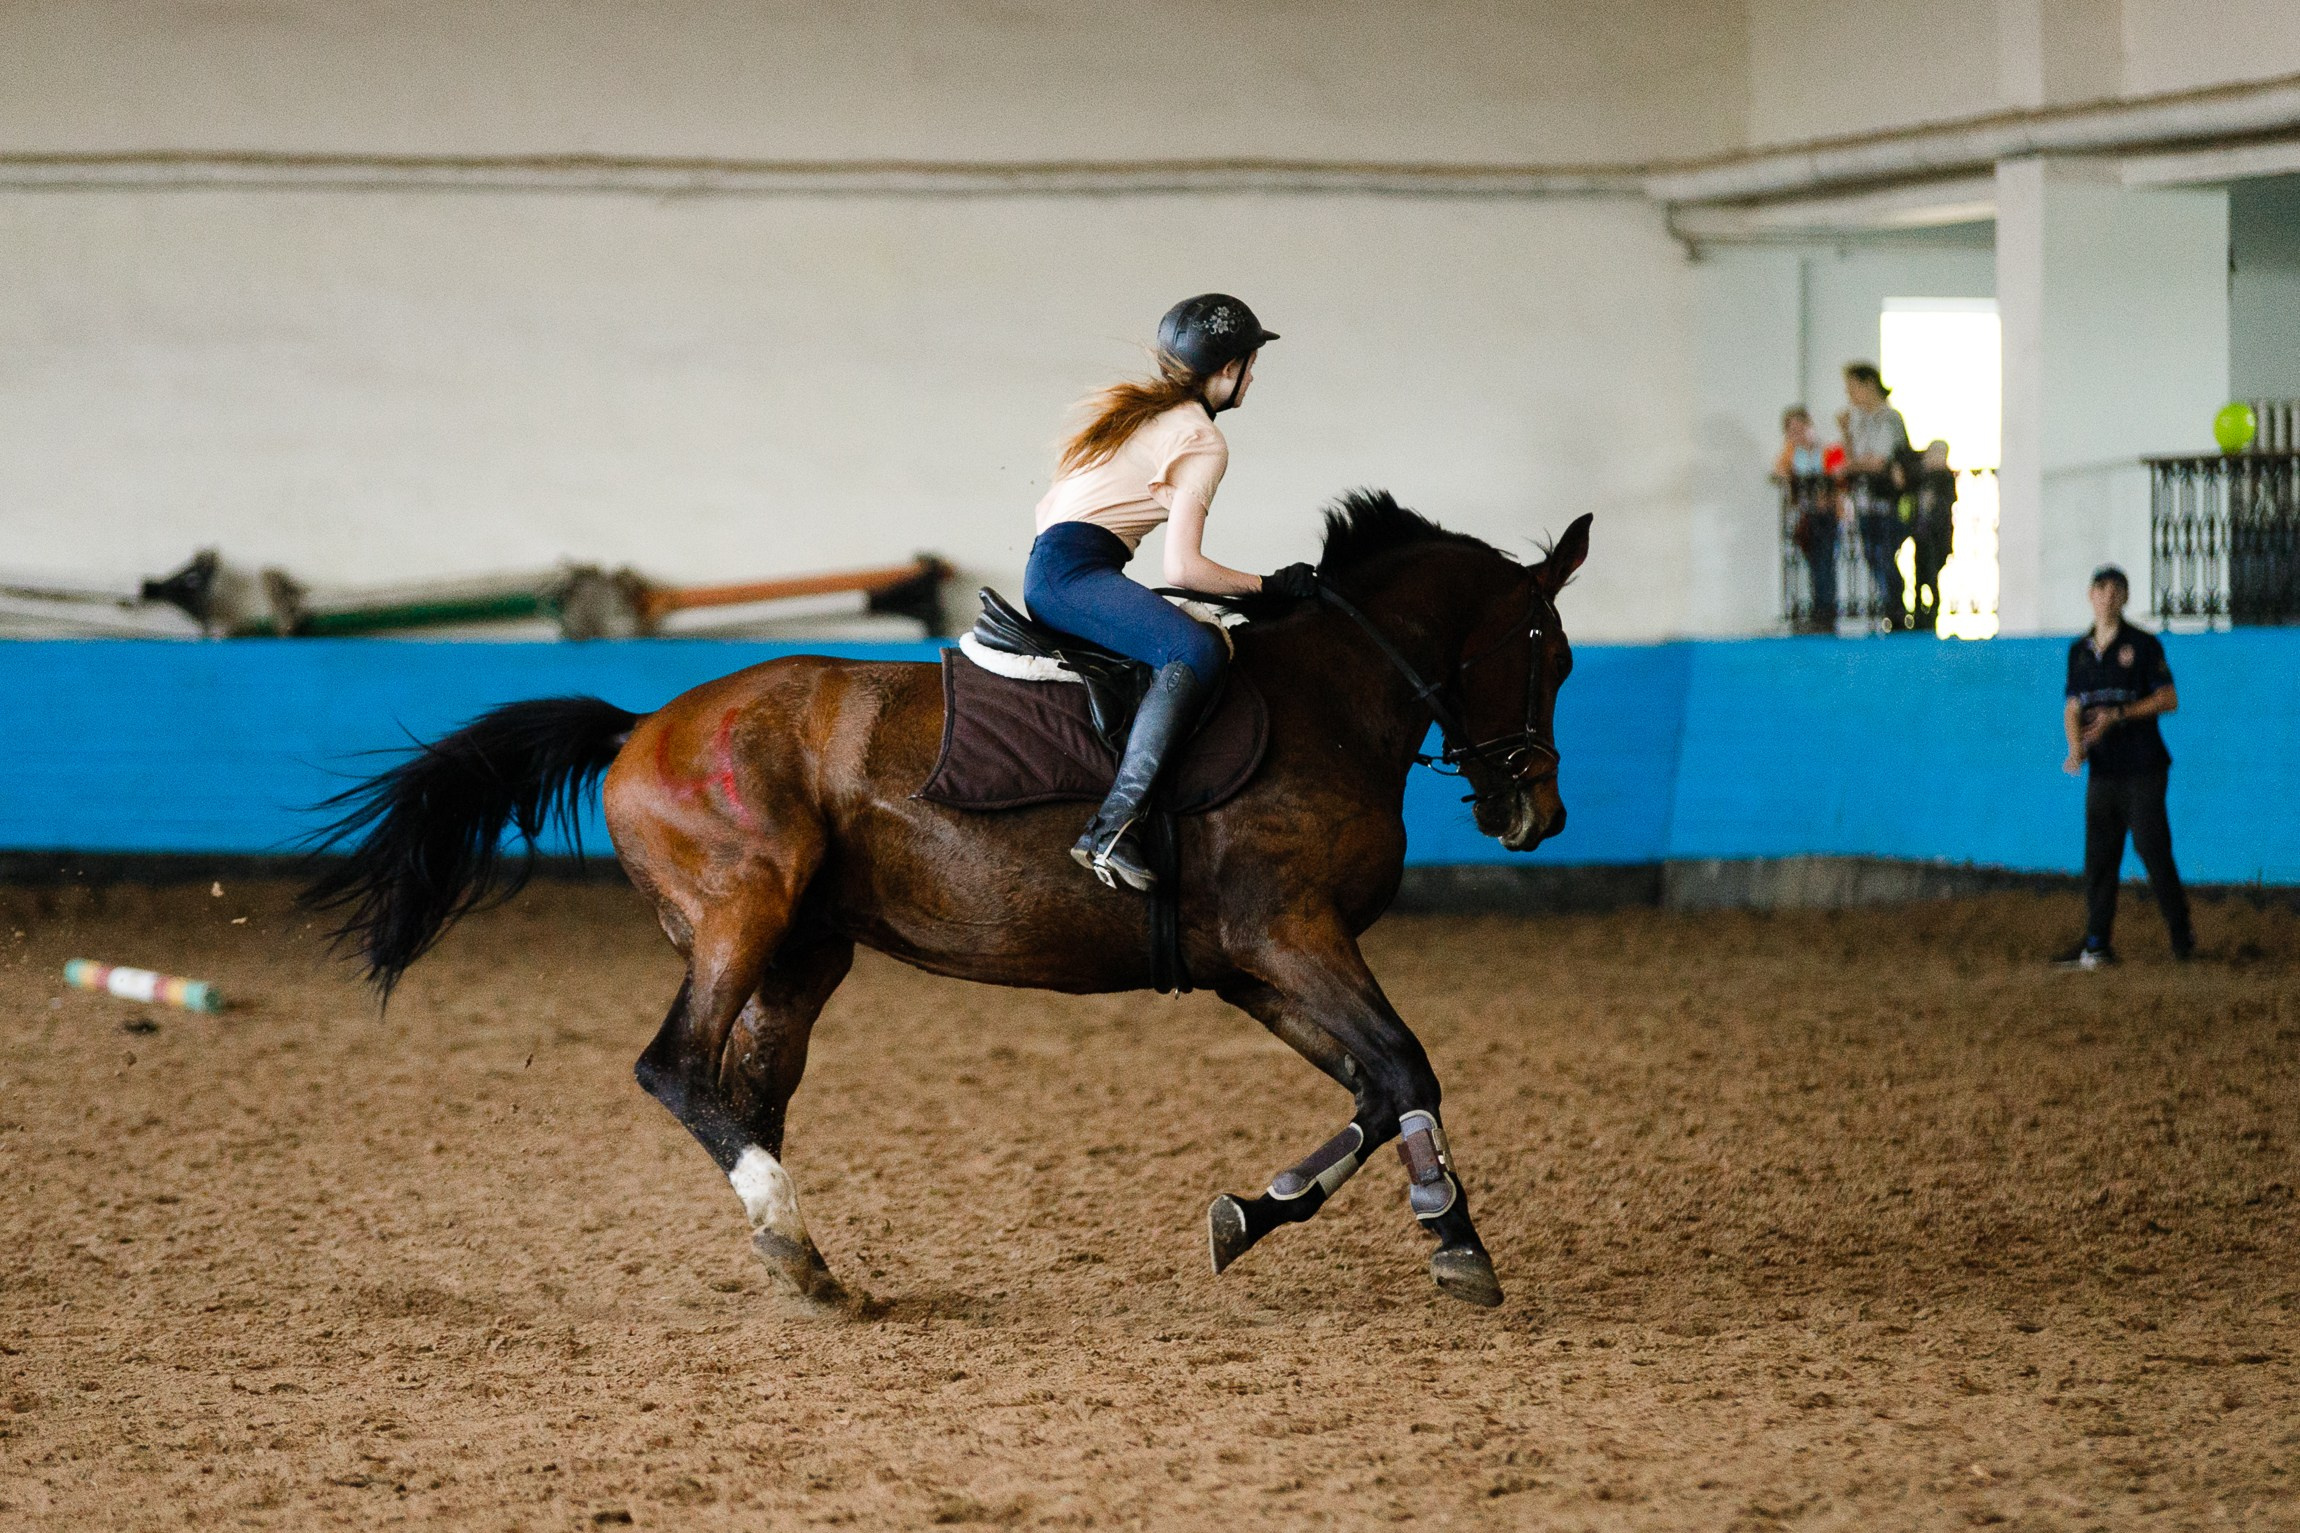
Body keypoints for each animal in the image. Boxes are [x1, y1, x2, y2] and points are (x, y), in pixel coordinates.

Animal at [306, 491, 1591, 1312]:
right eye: (1551, 653)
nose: (1534, 815)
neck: (1328, 700)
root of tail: (642, 726)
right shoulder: (1291, 936)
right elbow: (1408, 1065)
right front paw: (1452, 1241)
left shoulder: (1252, 967)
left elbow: (1375, 1085)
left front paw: (1256, 1210)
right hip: (743, 912)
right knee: (675, 1069)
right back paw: (786, 1237)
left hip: (803, 953)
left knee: (745, 1091)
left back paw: (797, 1258)